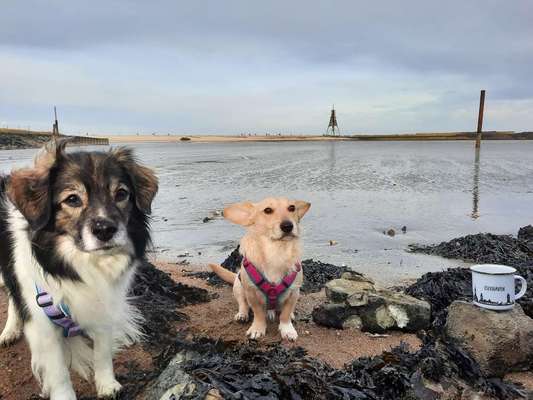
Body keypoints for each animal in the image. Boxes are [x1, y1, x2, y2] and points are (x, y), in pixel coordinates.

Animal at [0, 139, 157, 398]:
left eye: (121, 194)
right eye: (72, 199)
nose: (105, 230)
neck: (80, 264)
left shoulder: (103, 304)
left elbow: (102, 352)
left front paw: (106, 385)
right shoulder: (43, 325)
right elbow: (59, 373)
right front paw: (64, 395)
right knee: (13, 296)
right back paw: (10, 329)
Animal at [207, 197, 308, 340]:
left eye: (292, 208)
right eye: (267, 210)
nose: (288, 226)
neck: (276, 251)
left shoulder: (294, 292)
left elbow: (285, 314)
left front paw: (287, 329)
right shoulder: (251, 293)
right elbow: (258, 313)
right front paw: (257, 329)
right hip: (238, 286)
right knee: (242, 303)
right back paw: (242, 315)